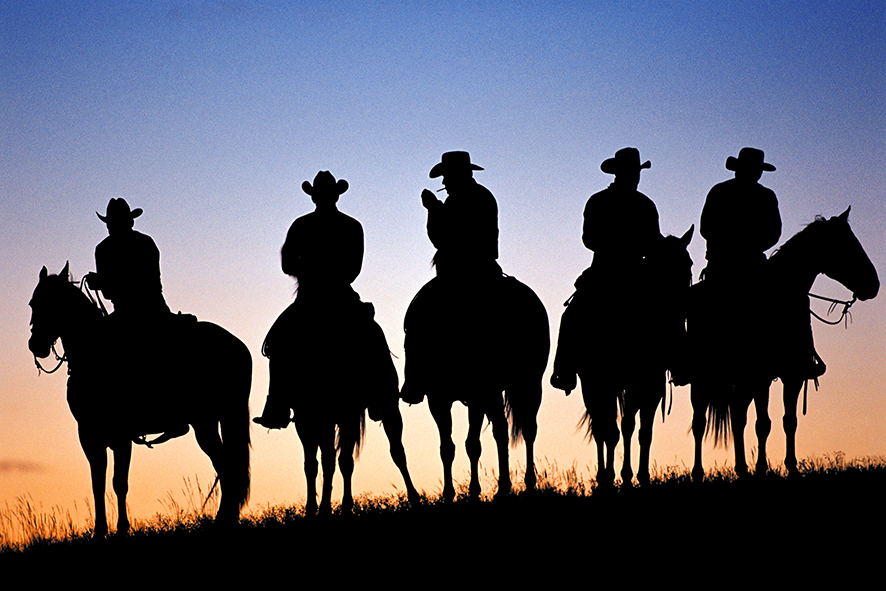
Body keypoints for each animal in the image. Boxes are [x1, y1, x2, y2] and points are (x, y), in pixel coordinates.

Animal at [28, 264, 250, 536]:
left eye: (54, 304)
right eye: (33, 303)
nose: (36, 345)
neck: (96, 355)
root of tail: (237, 345)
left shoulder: (121, 435)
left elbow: (119, 482)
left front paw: (123, 529)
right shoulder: (89, 435)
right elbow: (97, 482)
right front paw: (99, 531)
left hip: (210, 421)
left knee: (227, 469)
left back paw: (222, 522)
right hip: (211, 422)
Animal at [264, 300, 420, 512]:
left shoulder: (347, 416)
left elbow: (343, 461)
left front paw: (342, 506)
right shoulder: (306, 420)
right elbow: (313, 464)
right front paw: (314, 508)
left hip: (386, 409)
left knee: (397, 450)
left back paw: (414, 496)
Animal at [406, 272, 552, 500]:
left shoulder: (478, 395)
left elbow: (472, 444)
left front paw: (474, 491)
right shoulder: (438, 399)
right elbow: (447, 447)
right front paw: (448, 494)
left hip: (528, 383)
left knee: (528, 429)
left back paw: (528, 484)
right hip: (495, 394)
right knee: (501, 430)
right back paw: (503, 488)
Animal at [560, 227, 696, 486]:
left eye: (688, 263)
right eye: (662, 263)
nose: (684, 305)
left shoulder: (651, 385)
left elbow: (641, 431)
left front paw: (640, 476)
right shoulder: (608, 383)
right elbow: (614, 430)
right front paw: (617, 475)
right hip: (591, 385)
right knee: (601, 428)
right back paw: (603, 476)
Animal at [692, 208, 880, 480]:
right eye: (847, 245)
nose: (874, 285)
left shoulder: (793, 374)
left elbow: (788, 421)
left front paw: (791, 467)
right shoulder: (760, 376)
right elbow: (763, 423)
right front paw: (762, 468)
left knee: (737, 414)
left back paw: (742, 468)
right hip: (704, 378)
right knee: (700, 421)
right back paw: (699, 471)